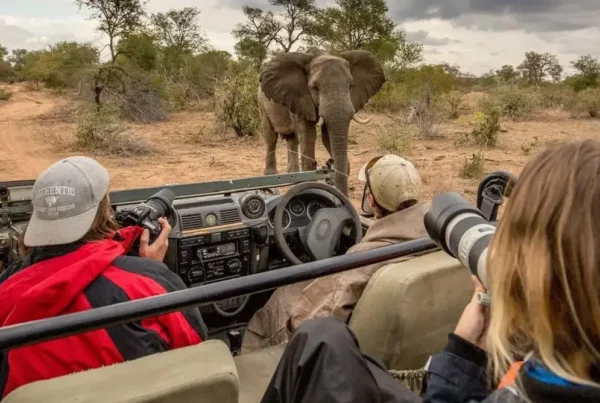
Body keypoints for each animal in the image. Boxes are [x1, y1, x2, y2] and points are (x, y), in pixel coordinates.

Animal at [256, 47, 384, 196]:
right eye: (315, 88)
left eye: (351, 86)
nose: (330, 162)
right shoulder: (300, 97)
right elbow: (309, 135)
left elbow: (327, 136)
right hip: (262, 103)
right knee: (271, 136)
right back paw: (271, 179)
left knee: (292, 140)